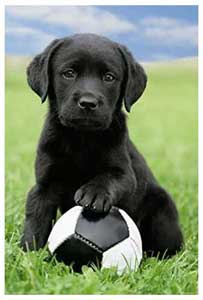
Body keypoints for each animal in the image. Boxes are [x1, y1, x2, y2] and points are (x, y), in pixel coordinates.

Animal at [21, 34, 184, 256]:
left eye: (109, 77)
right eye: (69, 73)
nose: (88, 103)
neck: (82, 138)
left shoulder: (125, 174)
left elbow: (109, 177)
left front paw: (94, 193)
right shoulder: (45, 183)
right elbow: (36, 217)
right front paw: (29, 253)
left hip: (162, 206)